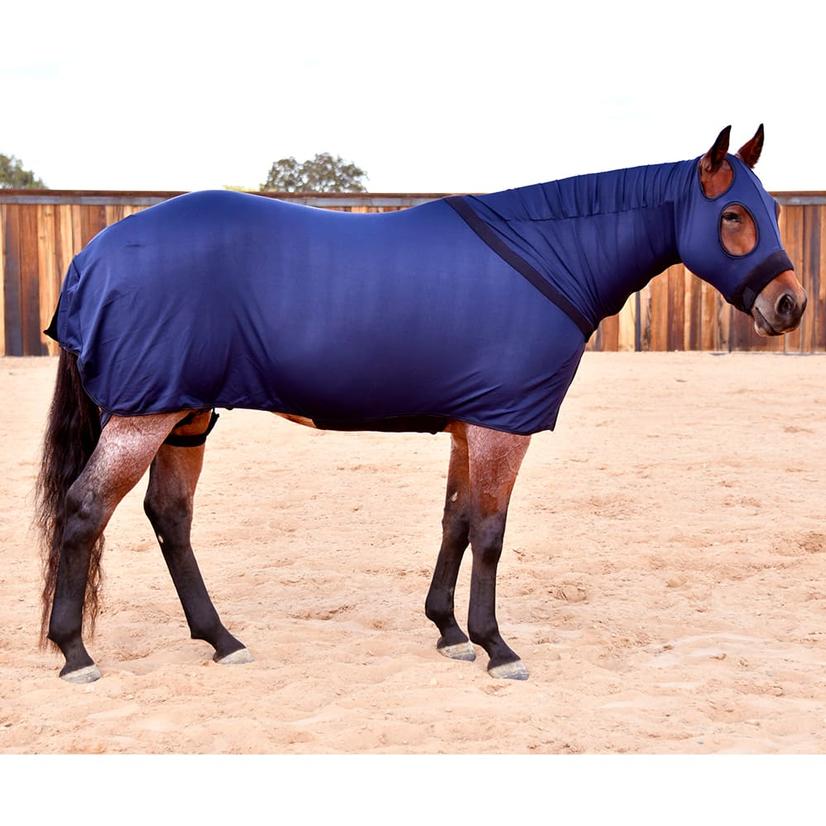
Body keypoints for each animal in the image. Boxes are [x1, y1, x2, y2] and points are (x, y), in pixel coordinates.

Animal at [36, 125, 807, 684]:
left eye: (772, 210)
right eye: (732, 213)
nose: (790, 305)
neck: (550, 252)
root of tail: (91, 256)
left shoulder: (471, 425)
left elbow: (456, 522)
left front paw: (449, 631)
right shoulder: (502, 427)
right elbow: (490, 533)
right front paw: (498, 647)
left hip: (186, 415)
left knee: (170, 517)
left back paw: (222, 639)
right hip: (148, 415)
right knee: (86, 510)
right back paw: (75, 653)